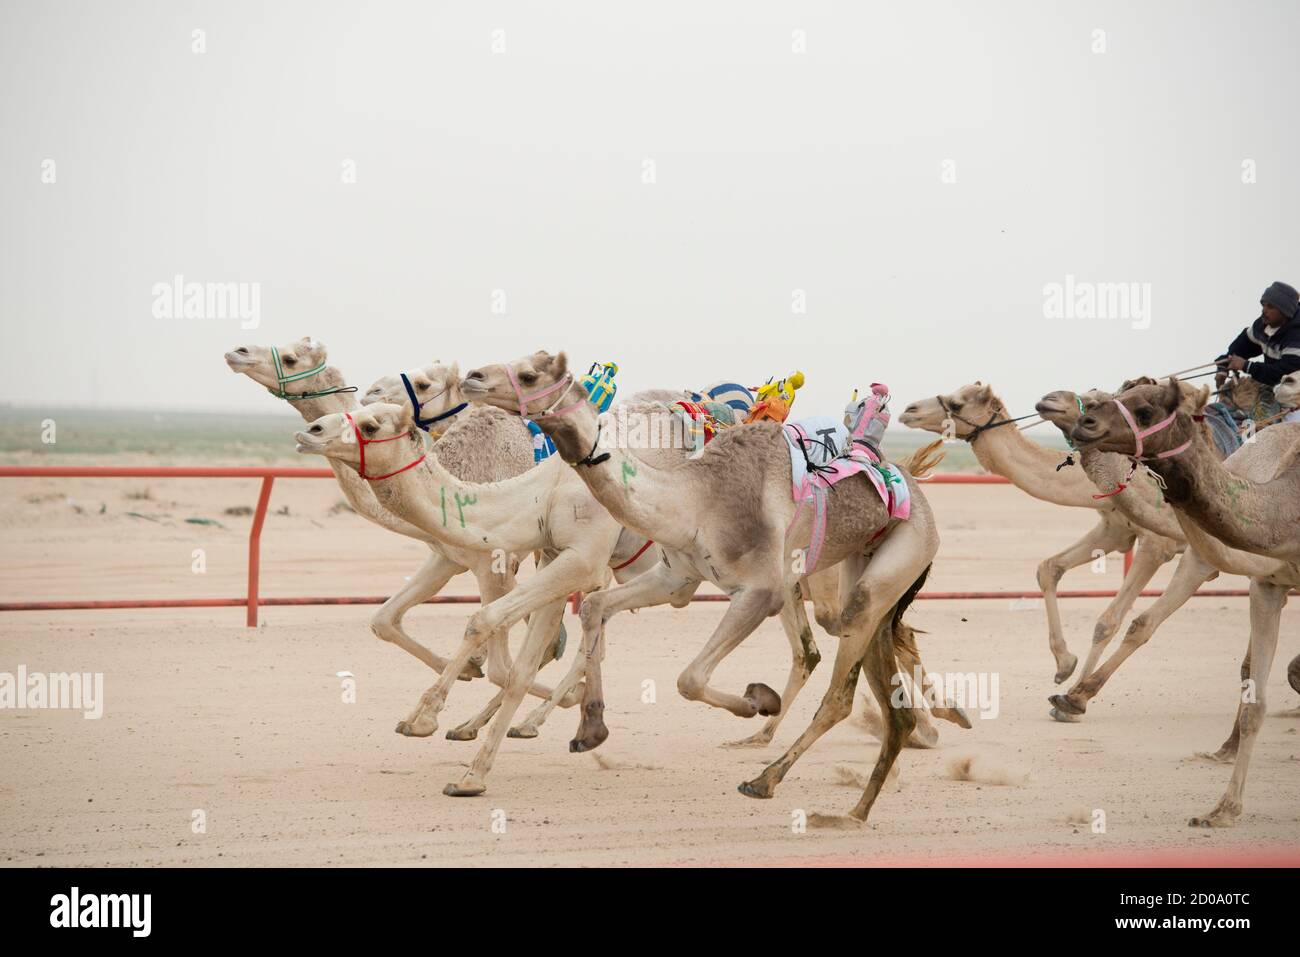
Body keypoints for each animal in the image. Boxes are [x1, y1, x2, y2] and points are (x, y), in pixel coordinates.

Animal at [461, 351, 946, 824]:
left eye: (528, 374)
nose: (472, 377)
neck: (698, 498)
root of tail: (915, 487)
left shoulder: (761, 591)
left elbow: (689, 678)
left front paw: (757, 700)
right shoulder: (675, 575)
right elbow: (595, 606)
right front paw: (590, 730)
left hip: (895, 557)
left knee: (839, 690)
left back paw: (766, 780)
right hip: (861, 568)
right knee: (886, 685)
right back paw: (859, 806)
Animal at [899, 384, 1186, 695]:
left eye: (957, 404)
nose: (909, 410)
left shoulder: (1158, 542)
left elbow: (1110, 621)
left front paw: (1075, 693)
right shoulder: (1116, 529)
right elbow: (1049, 568)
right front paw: (1064, 665)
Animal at [1072, 378, 1300, 826]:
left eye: (1145, 410)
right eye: (1119, 395)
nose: (1083, 422)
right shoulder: (1268, 584)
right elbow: (1257, 702)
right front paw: (1223, 810)